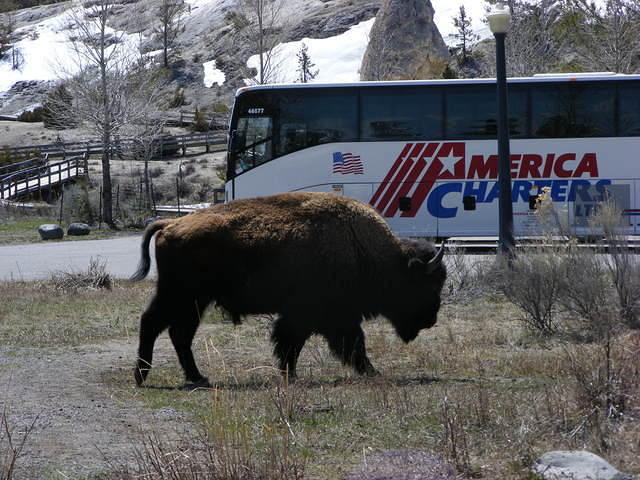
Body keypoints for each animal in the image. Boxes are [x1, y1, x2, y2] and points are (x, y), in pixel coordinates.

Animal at [130, 190, 444, 386]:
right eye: (427, 283)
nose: (431, 320)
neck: (365, 250)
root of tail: (170, 223)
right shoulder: (323, 317)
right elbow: (342, 344)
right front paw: (372, 372)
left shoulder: (316, 318)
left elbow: (298, 344)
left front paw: (289, 374)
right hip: (181, 295)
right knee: (153, 323)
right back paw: (142, 376)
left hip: (194, 301)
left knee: (178, 334)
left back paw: (196, 377)